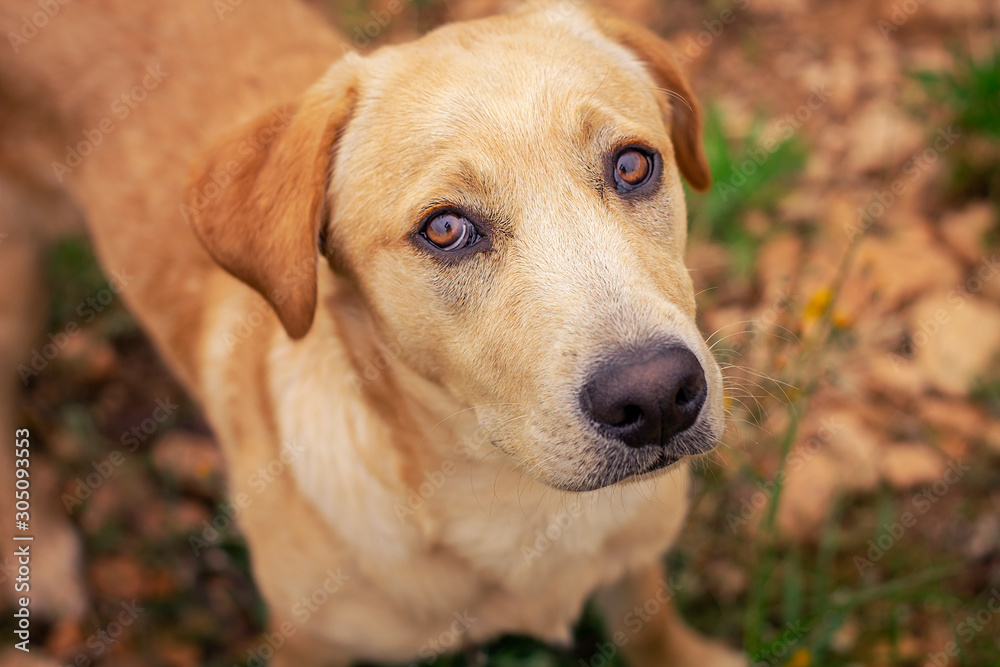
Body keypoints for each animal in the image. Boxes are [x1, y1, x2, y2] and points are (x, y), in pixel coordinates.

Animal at [1, 0, 744, 664]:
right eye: (445, 229)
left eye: (633, 165)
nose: (657, 395)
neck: (514, 503)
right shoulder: (307, 643)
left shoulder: (634, 559)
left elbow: (650, 627)